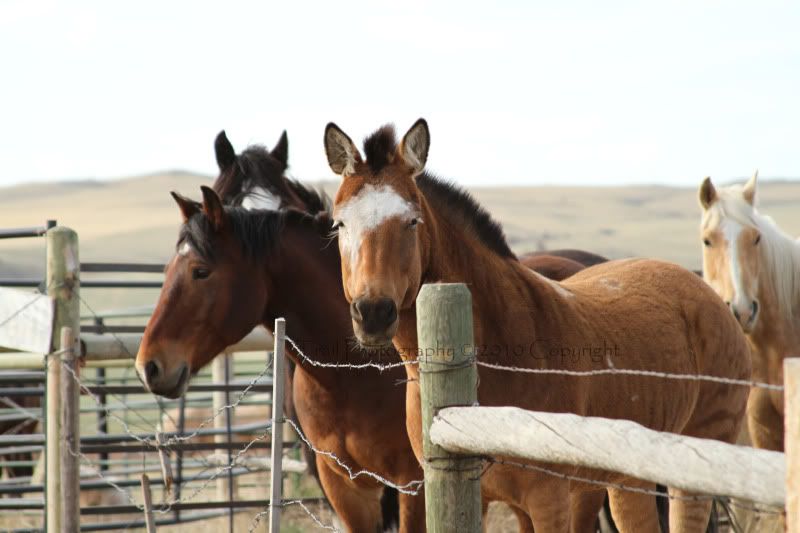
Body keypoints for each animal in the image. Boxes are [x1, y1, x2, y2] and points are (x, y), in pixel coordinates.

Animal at [324, 120, 752, 532]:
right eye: (340, 224)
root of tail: (711, 295)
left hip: (690, 473)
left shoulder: (548, 499)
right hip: (628, 480)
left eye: (412, 221)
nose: (373, 312)